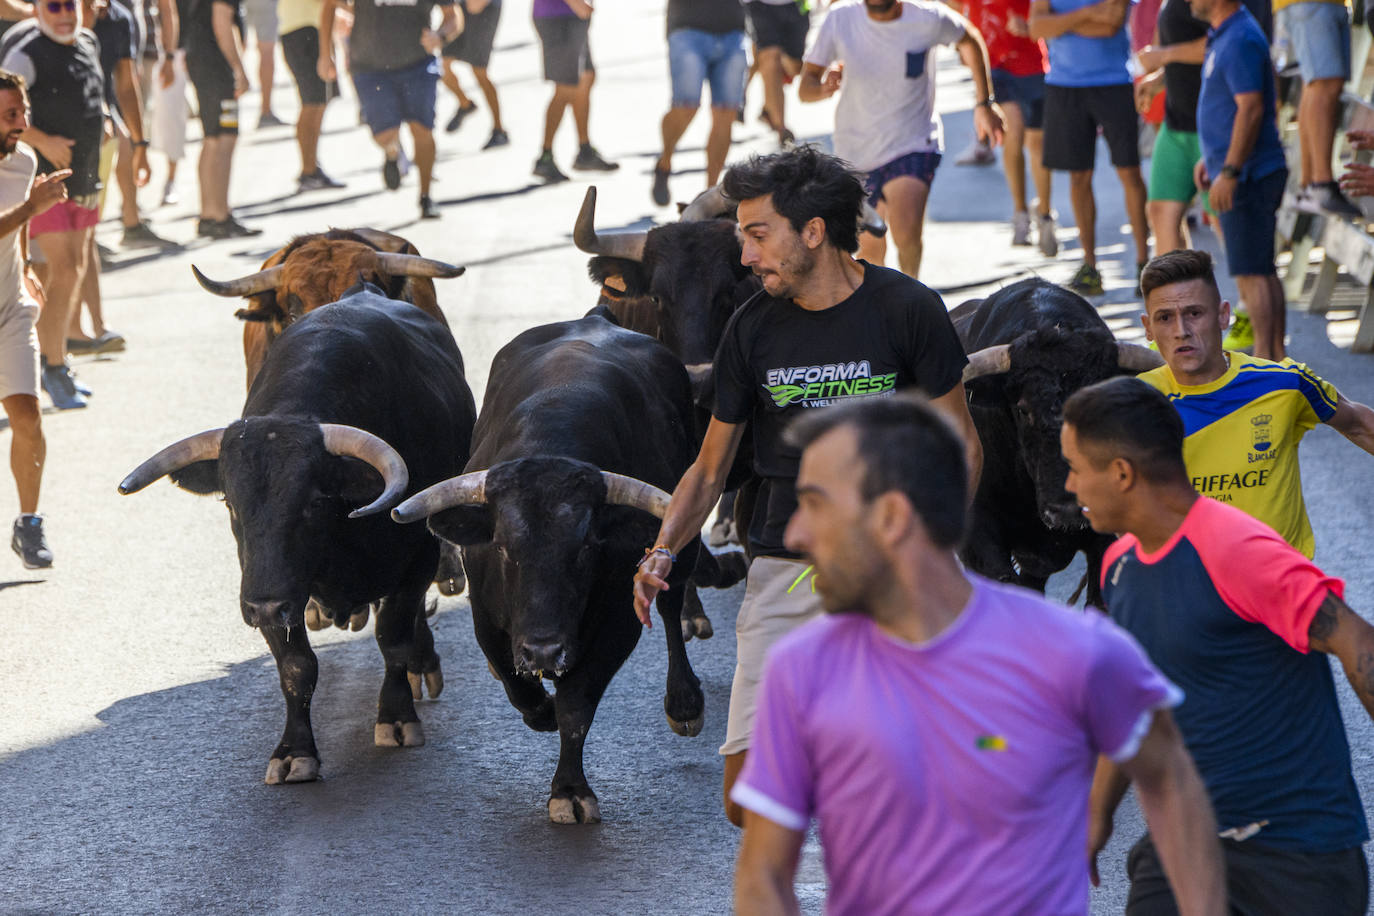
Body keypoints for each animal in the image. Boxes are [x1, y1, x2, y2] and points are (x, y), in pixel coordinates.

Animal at [119, 289, 483, 785]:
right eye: (230, 504)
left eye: (313, 501)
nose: (263, 607)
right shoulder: (275, 587)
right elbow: (296, 667)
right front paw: (294, 752)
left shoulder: (416, 560)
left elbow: (393, 638)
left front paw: (396, 717)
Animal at [392, 315, 703, 823]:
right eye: (501, 547)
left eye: (587, 547)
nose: (542, 650)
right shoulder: (486, 618)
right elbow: (520, 690)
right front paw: (539, 709)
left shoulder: (617, 625)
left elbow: (576, 708)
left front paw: (570, 790)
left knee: (674, 605)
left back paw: (685, 703)